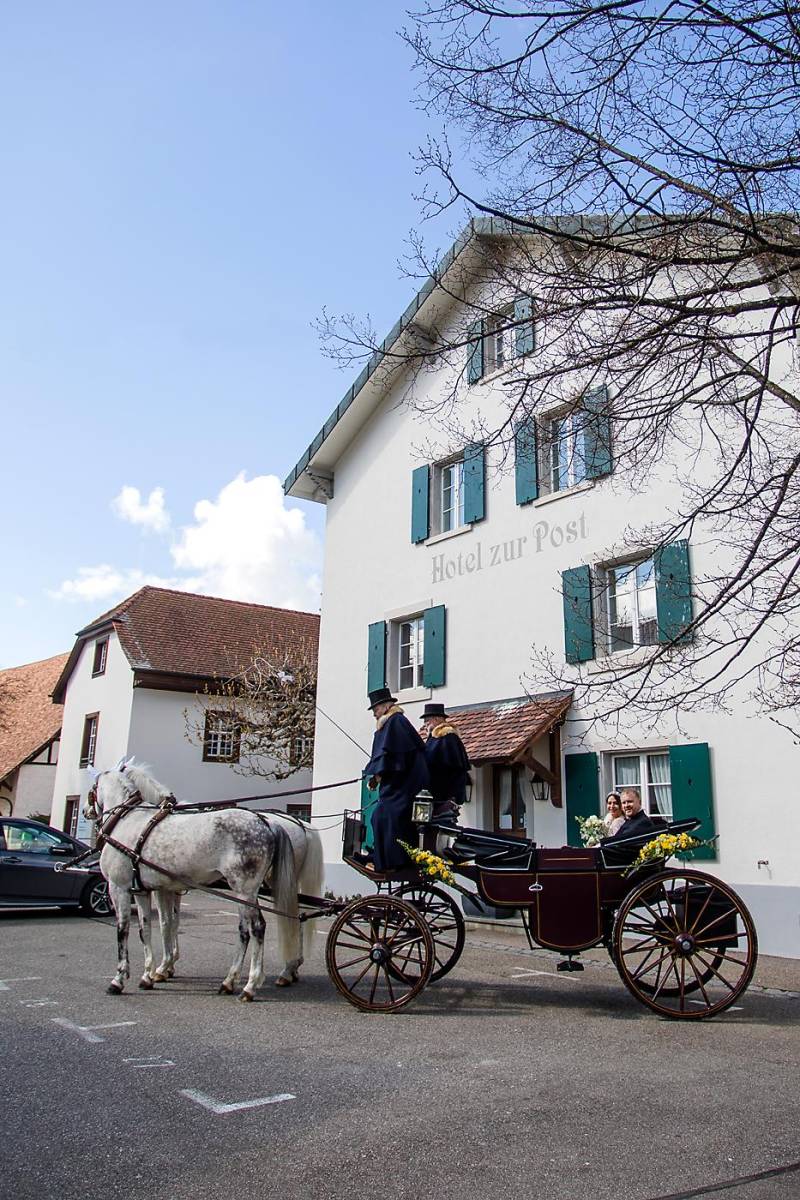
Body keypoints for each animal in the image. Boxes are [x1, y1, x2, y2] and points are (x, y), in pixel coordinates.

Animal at [86, 758, 314, 1003]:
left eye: (93, 788)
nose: (85, 811)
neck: (127, 820)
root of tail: (267, 823)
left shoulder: (119, 888)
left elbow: (125, 930)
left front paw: (120, 979)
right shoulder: (145, 890)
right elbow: (147, 929)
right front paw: (150, 974)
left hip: (246, 889)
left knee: (258, 928)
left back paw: (251, 985)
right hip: (248, 890)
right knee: (250, 929)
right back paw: (232, 980)